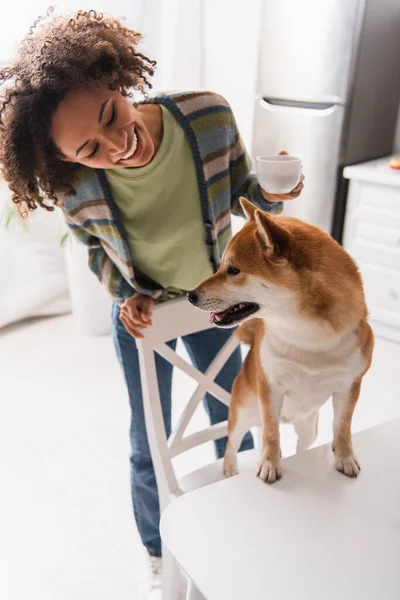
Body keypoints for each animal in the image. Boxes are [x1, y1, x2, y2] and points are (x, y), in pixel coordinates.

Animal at [189, 198, 374, 482]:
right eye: (221, 266)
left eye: (233, 270)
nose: (190, 295)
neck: (308, 335)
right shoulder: (271, 385)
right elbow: (270, 432)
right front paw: (269, 464)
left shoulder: (349, 386)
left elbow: (342, 427)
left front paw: (344, 458)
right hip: (243, 412)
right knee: (232, 444)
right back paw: (230, 469)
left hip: (308, 428)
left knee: (303, 444)